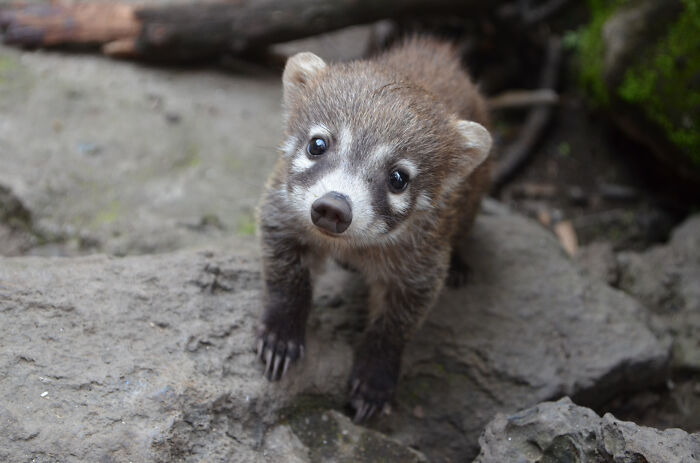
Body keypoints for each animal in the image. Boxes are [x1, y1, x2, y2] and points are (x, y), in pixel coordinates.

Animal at [256, 37, 492, 422]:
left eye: (399, 178)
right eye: (318, 144)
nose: (333, 206)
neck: (352, 247)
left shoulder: (423, 263)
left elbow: (395, 327)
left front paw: (374, 381)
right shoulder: (280, 209)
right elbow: (285, 276)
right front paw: (280, 335)